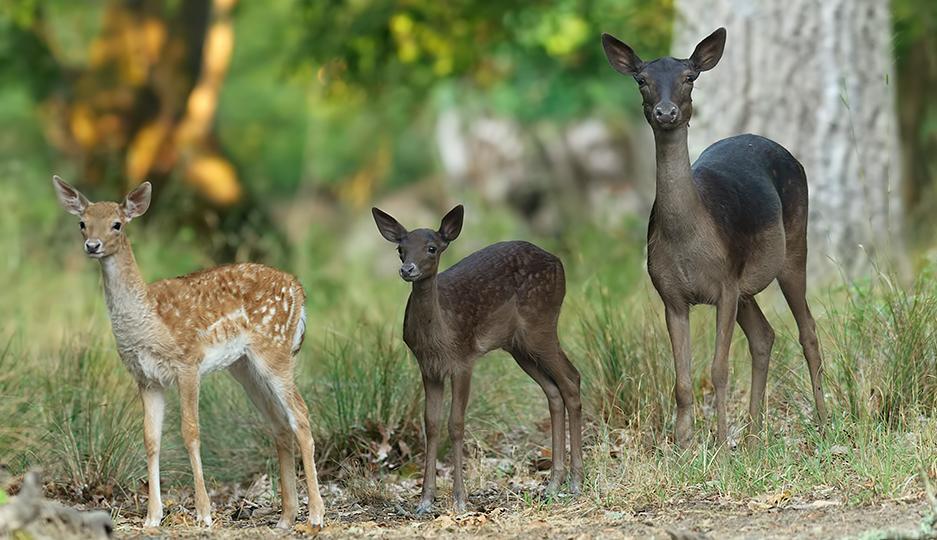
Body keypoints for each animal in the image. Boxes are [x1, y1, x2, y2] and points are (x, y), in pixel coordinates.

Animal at [54, 176, 328, 528]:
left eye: (117, 224)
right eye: (82, 223)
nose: (92, 245)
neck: (148, 319)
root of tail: (299, 289)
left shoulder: (188, 363)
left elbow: (190, 432)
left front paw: (204, 513)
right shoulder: (146, 378)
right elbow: (151, 439)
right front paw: (152, 517)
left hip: (275, 349)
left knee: (301, 416)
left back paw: (316, 515)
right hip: (244, 367)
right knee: (280, 424)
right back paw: (285, 517)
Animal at [372, 206, 576, 516]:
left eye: (432, 248)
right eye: (400, 249)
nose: (408, 269)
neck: (439, 334)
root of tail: (560, 262)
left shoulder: (463, 358)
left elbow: (456, 424)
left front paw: (460, 500)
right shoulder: (428, 368)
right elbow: (431, 424)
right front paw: (425, 501)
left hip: (541, 324)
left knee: (571, 379)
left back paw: (575, 482)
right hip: (519, 346)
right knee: (553, 390)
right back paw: (553, 484)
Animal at [600, 27, 828, 446]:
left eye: (689, 77)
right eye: (642, 79)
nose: (666, 112)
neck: (687, 241)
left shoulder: (725, 284)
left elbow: (719, 369)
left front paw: (721, 445)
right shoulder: (672, 294)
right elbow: (682, 381)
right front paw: (683, 447)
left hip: (793, 245)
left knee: (807, 329)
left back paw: (824, 420)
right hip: (746, 285)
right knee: (764, 335)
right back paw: (753, 436)